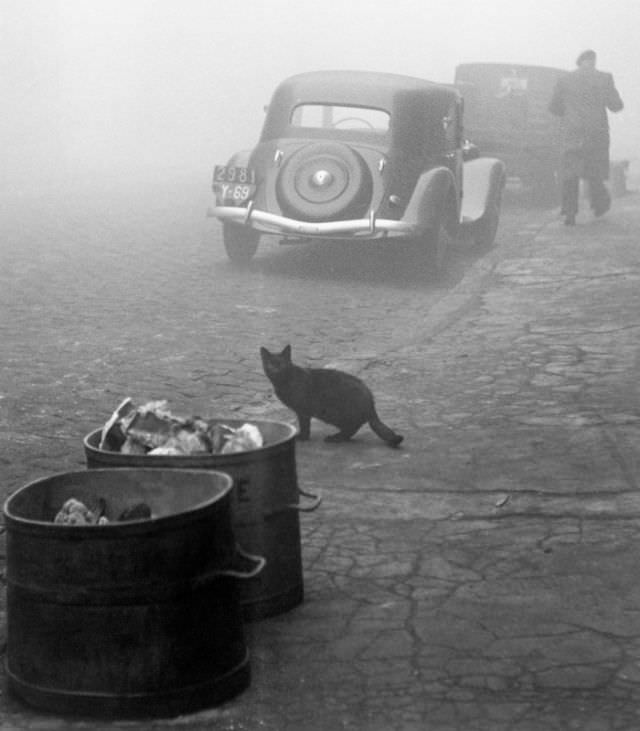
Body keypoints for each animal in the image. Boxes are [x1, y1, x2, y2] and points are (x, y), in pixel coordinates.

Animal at [258, 348, 400, 446]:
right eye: (270, 364)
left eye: (281, 364)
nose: (275, 369)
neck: (284, 381)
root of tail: (371, 403)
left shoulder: (303, 411)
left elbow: (305, 426)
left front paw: (303, 437)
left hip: (336, 413)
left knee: (352, 428)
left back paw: (335, 438)